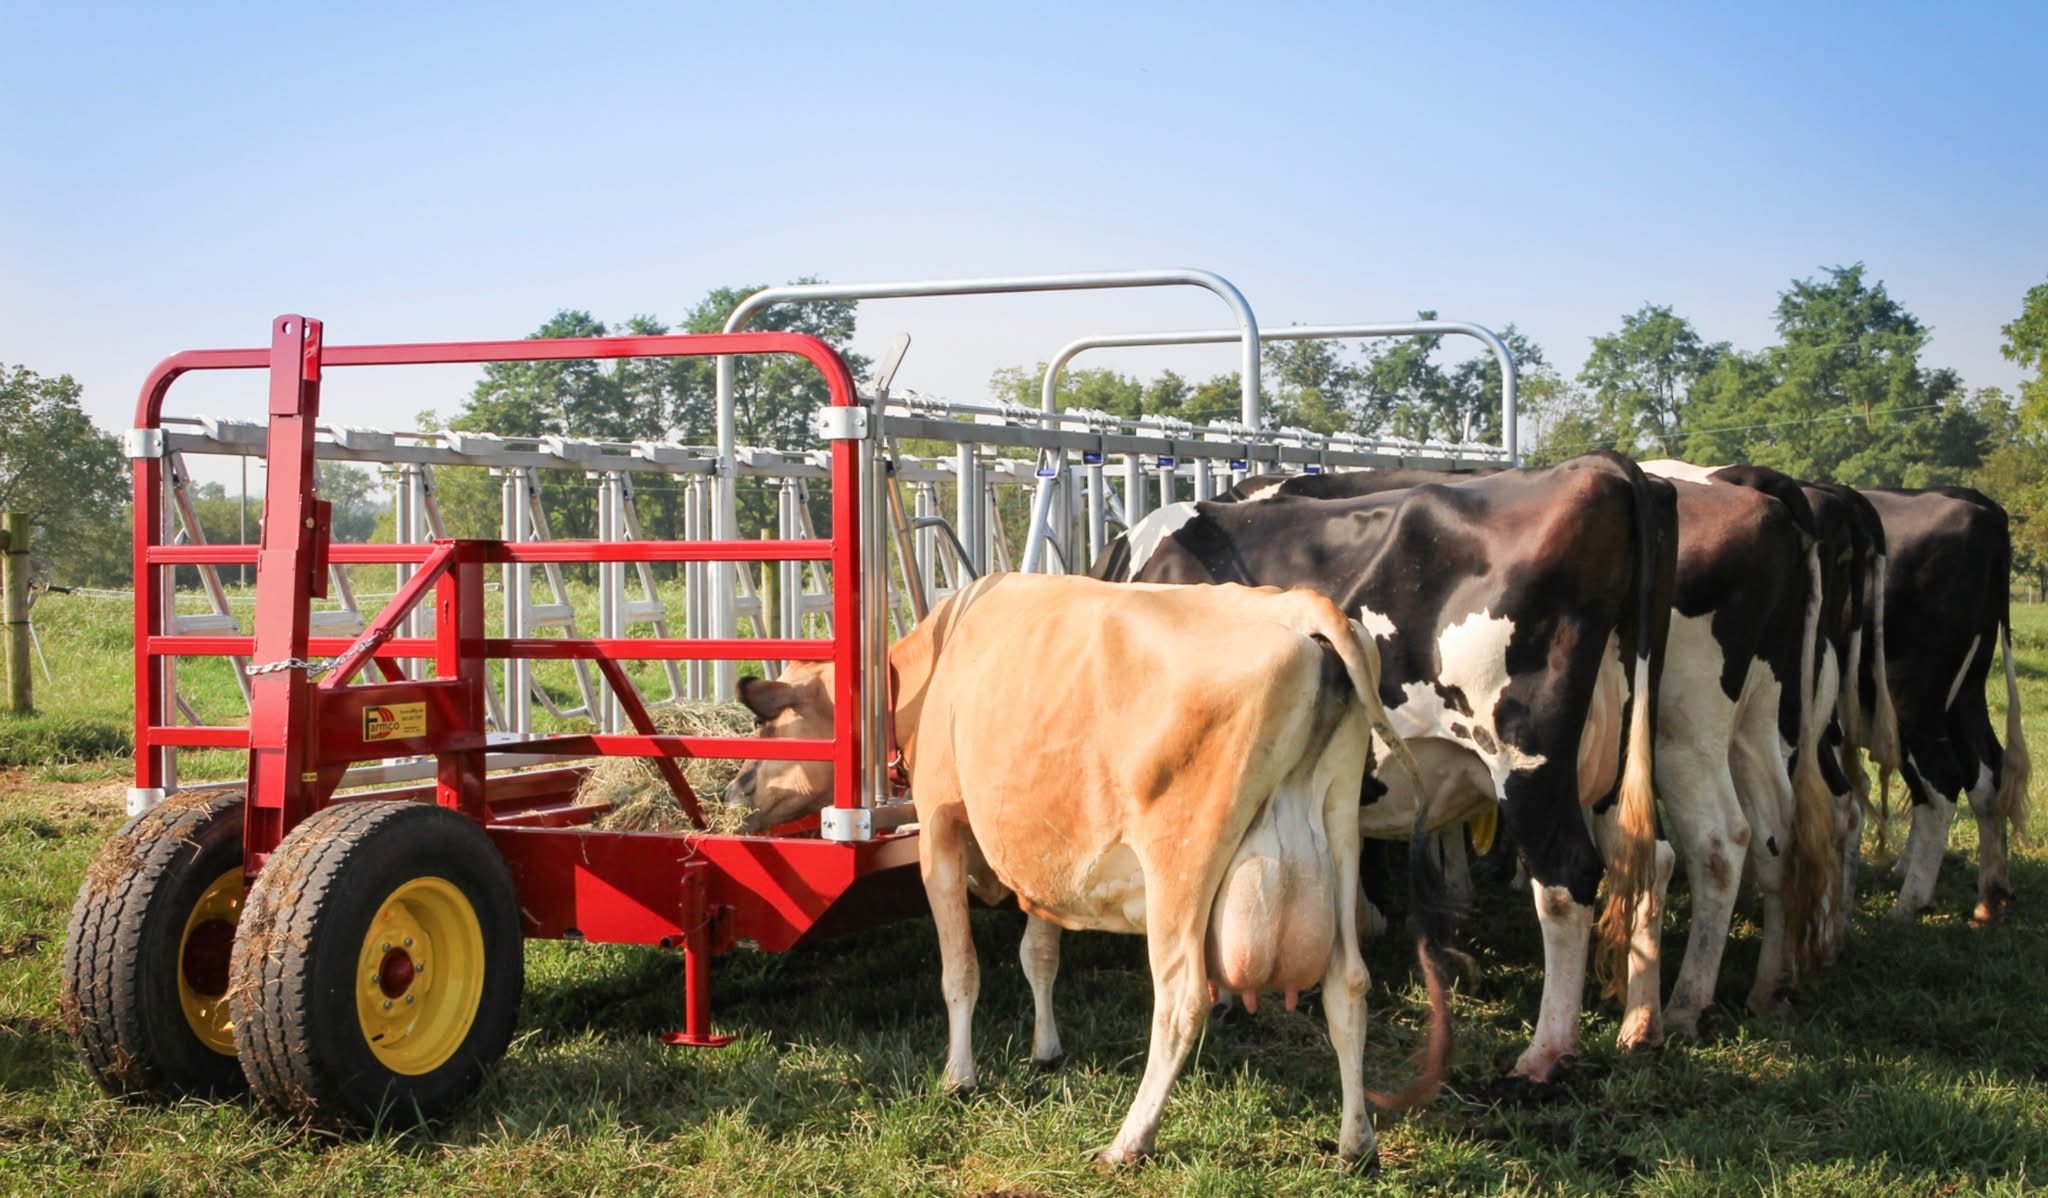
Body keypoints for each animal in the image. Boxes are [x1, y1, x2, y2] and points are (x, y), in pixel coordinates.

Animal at [721, 573, 1452, 1167]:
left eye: (769, 727)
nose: (733, 788)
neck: (935, 662)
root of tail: (1298, 605)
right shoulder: (1048, 853)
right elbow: (1039, 953)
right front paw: (1046, 1049)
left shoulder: (942, 827)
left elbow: (961, 970)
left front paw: (959, 1077)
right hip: (1338, 835)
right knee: (1348, 987)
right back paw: (1357, 1145)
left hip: (1180, 864)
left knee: (1182, 998)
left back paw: (1129, 1141)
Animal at [1094, 451, 1676, 1080]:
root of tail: (1599, 468)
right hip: (1622, 753)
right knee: (1645, 858)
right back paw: (1642, 1024)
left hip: (1525, 757)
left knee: (1567, 878)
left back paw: (1543, 1056)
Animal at [1862, 487, 2030, 924]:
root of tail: (1984, 512)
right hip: (1966, 690)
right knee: (1986, 773)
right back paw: (1990, 895)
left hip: (1910, 694)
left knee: (1942, 780)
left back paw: (1909, 902)